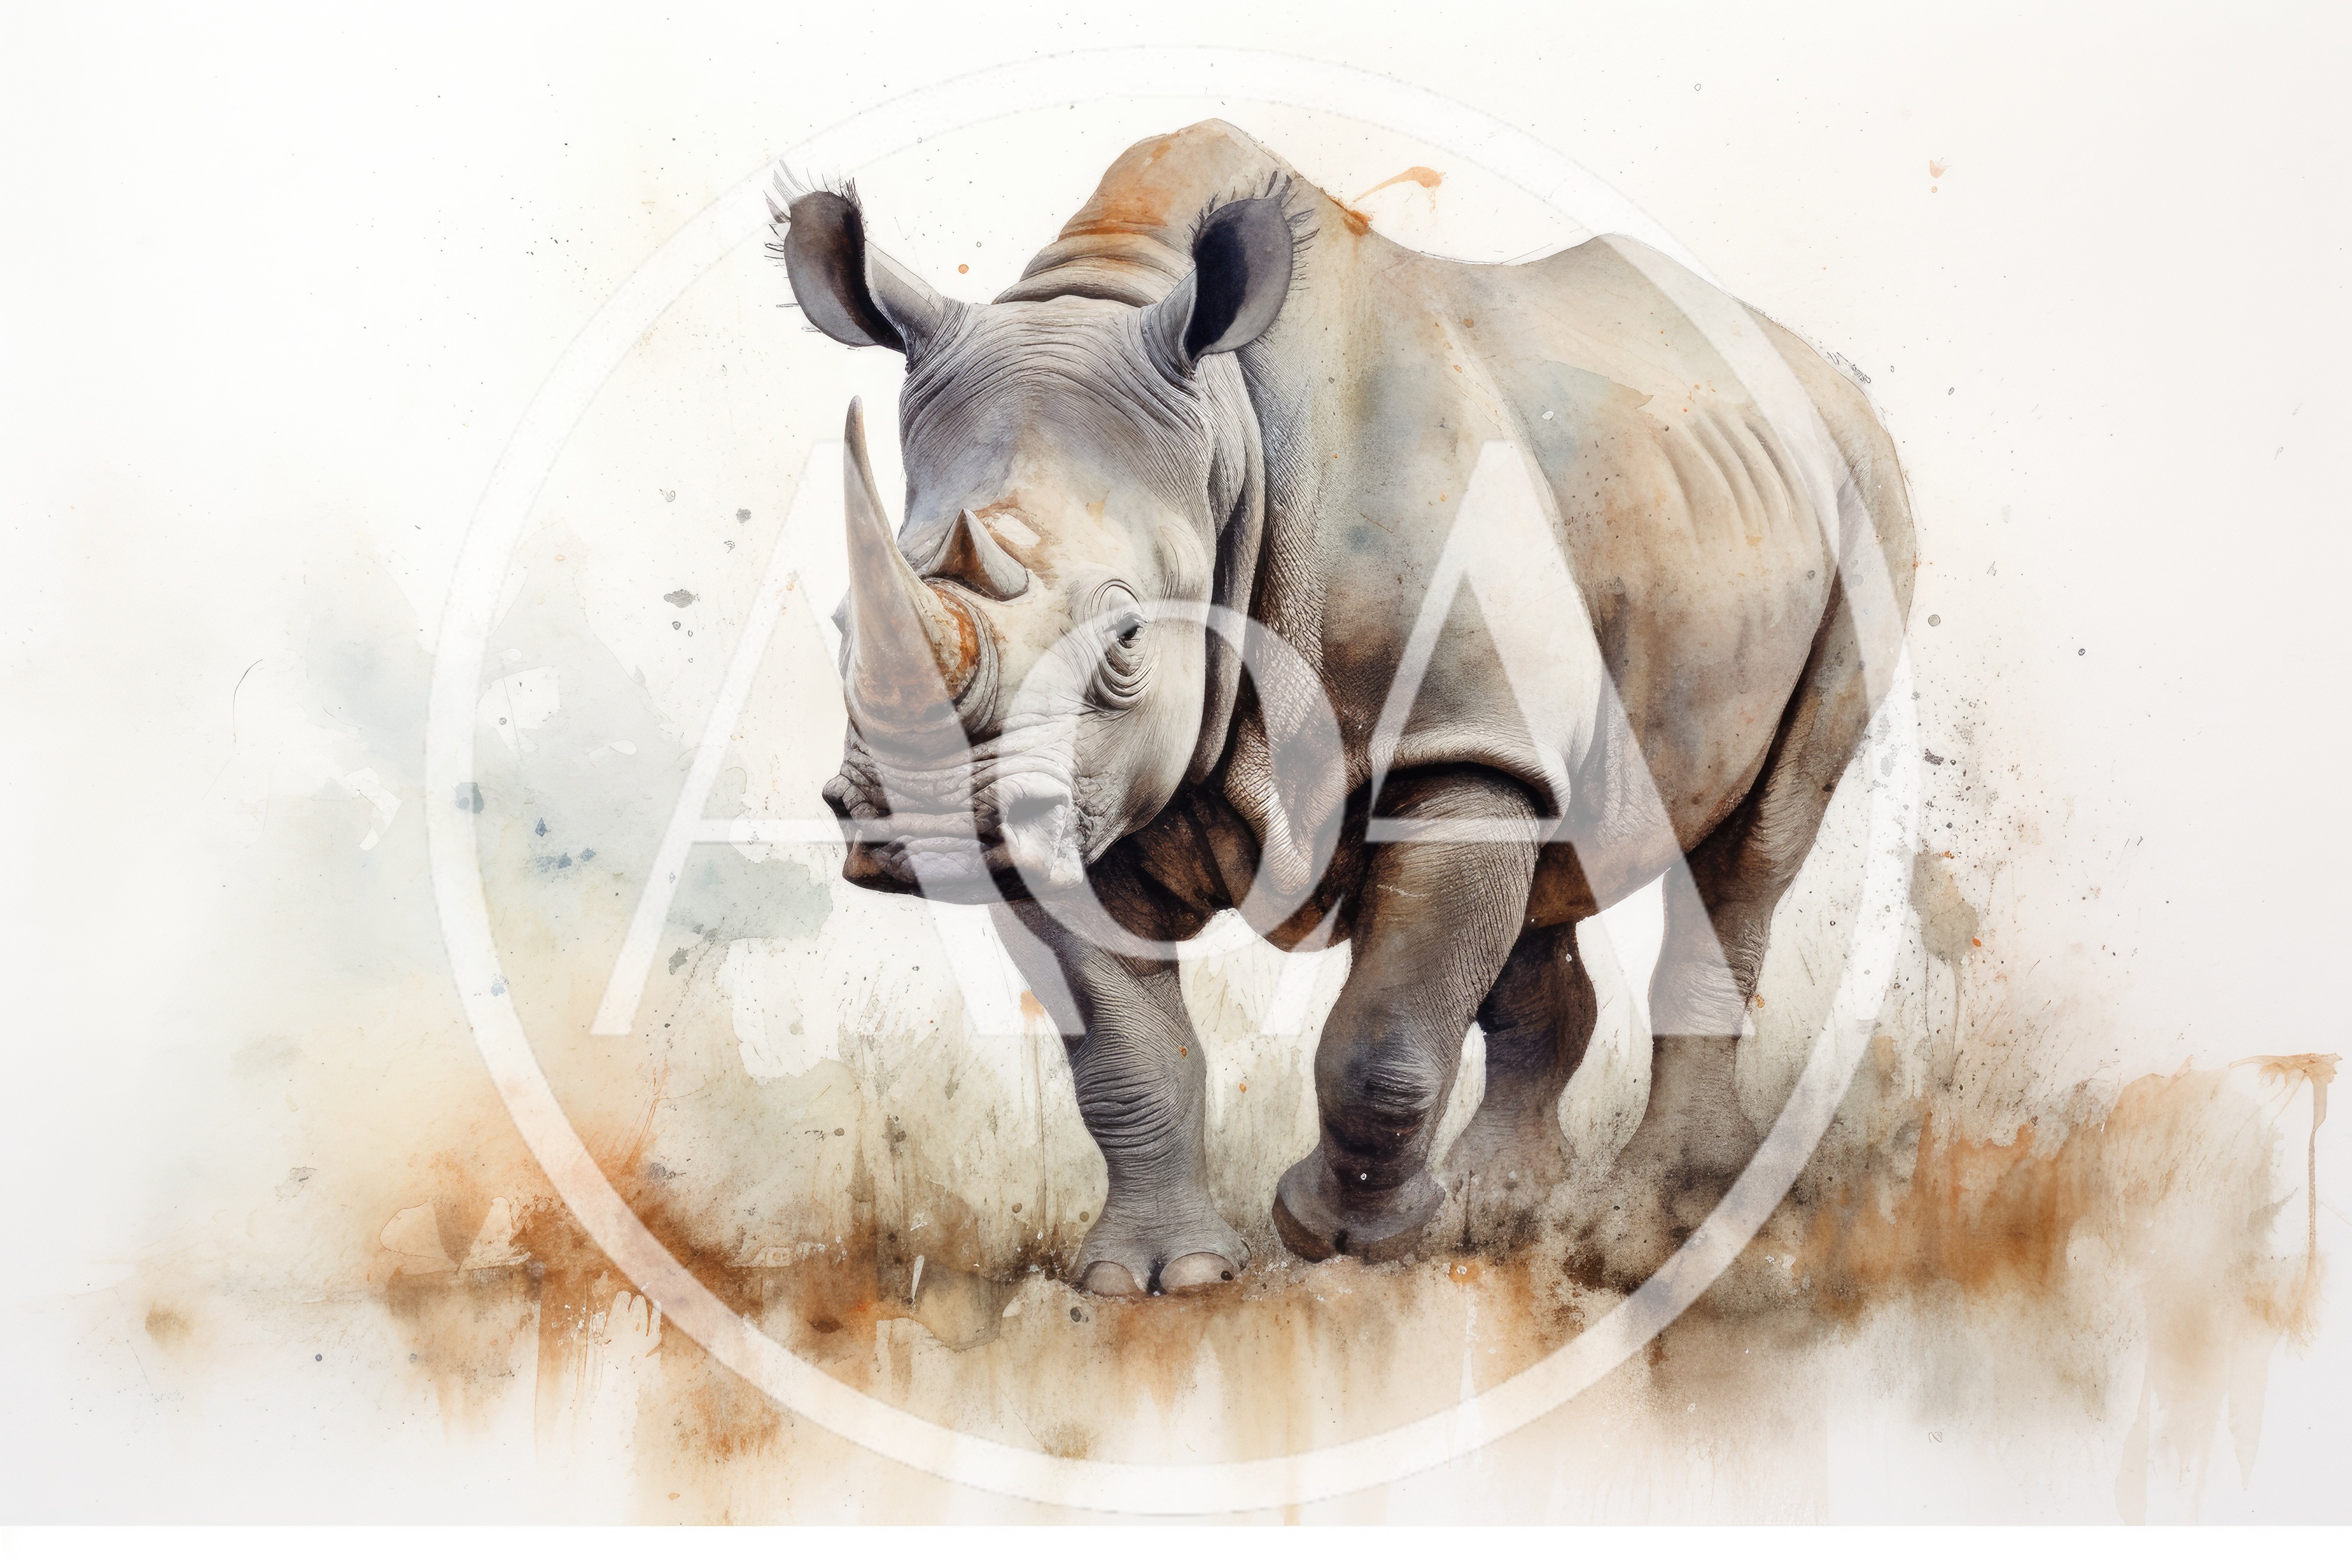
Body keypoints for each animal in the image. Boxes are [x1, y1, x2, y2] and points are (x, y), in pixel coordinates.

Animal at [774, 121, 1914, 1297]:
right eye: (841, 624)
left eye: (1129, 638)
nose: (922, 822)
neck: (1225, 440)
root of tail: (1817, 367)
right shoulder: (1064, 799)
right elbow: (1128, 1059)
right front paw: (1162, 1277)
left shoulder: (1451, 744)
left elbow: (1383, 1037)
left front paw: (1346, 1241)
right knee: (1553, 855)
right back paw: (1506, 1204)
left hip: (1867, 497)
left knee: (1755, 848)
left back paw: (1661, 1215)